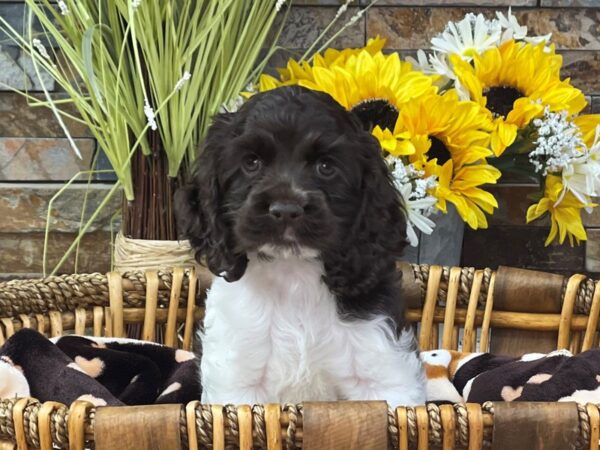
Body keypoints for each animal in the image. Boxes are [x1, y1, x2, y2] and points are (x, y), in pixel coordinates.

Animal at [175, 86, 426, 406]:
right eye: (251, 162)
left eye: (326, 166)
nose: (285, 209)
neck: (293, 275)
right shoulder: (237, 382)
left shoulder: (384, 374)